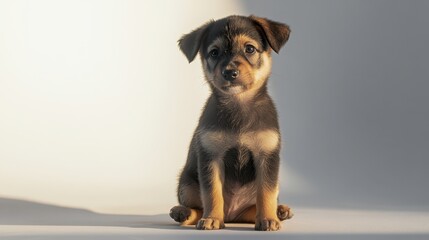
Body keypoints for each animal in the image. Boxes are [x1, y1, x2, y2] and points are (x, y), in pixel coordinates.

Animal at [169, 14, 292, 231]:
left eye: (250, 49)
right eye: (214, 53)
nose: (229, 72)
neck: (238, 104)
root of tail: (231, 215)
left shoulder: (266, 157)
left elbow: (266, 193)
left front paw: (268, 219)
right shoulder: (211, 157)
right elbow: (212, 193)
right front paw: (212, 219)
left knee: (254, 209)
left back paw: (279, 211)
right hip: (186, 183)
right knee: (198, 206)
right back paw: (184, 213)